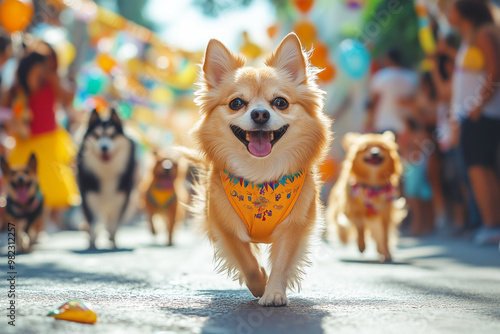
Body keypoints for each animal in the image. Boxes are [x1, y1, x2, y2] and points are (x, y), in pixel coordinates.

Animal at [188, 32, 332, 306]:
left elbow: (283, 262)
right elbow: (247, 261)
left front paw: (274, 292)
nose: (260, 114)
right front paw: (260, 284)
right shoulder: (225, 226)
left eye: (280, 102)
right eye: (236, 103)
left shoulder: (294, 226)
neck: (261, 177)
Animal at [328, 132, 406, 262]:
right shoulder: (353, 211)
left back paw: (381, 252)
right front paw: (361, 245)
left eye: (382, 147)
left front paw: (387, 253)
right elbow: (360, 229)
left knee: (378, 236)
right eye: (365, 148)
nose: (375, 152)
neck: (372, 186)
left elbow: (384, 236)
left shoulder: (385, 215)